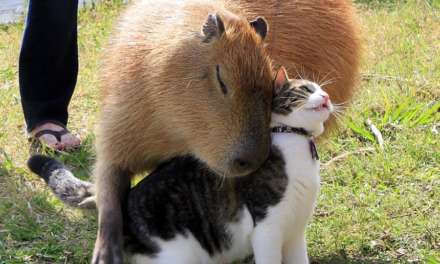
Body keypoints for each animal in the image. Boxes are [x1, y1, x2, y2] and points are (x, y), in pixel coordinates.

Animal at [28, 67, 334, 262]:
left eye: (321, 89)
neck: (295, 141)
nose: (327, 97)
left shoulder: (295, 231)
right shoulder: (268, 229)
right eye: (308, 89)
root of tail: (120, 202)